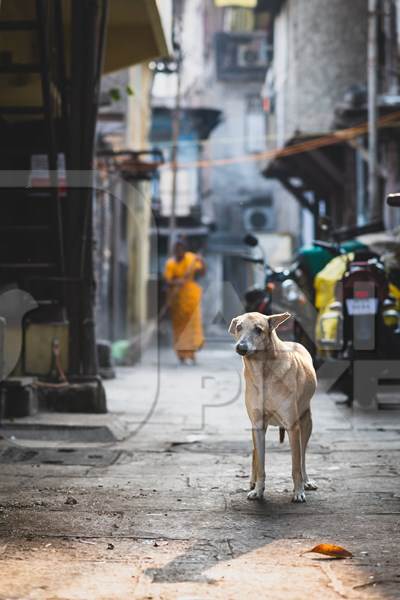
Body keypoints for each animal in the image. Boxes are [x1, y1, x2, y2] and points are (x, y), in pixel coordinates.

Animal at [230, 312, 318, 504]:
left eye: (258, 329)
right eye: (239, 327)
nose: (241, 347)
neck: (262, 372)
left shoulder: (293, 427)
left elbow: (296, 466)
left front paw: (298, 491)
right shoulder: (257, 425)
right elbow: (261, 463)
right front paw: (258, 490)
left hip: (306, 422)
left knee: (302, 457)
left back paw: (306, 481)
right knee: (255, 452)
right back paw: (252, 481)